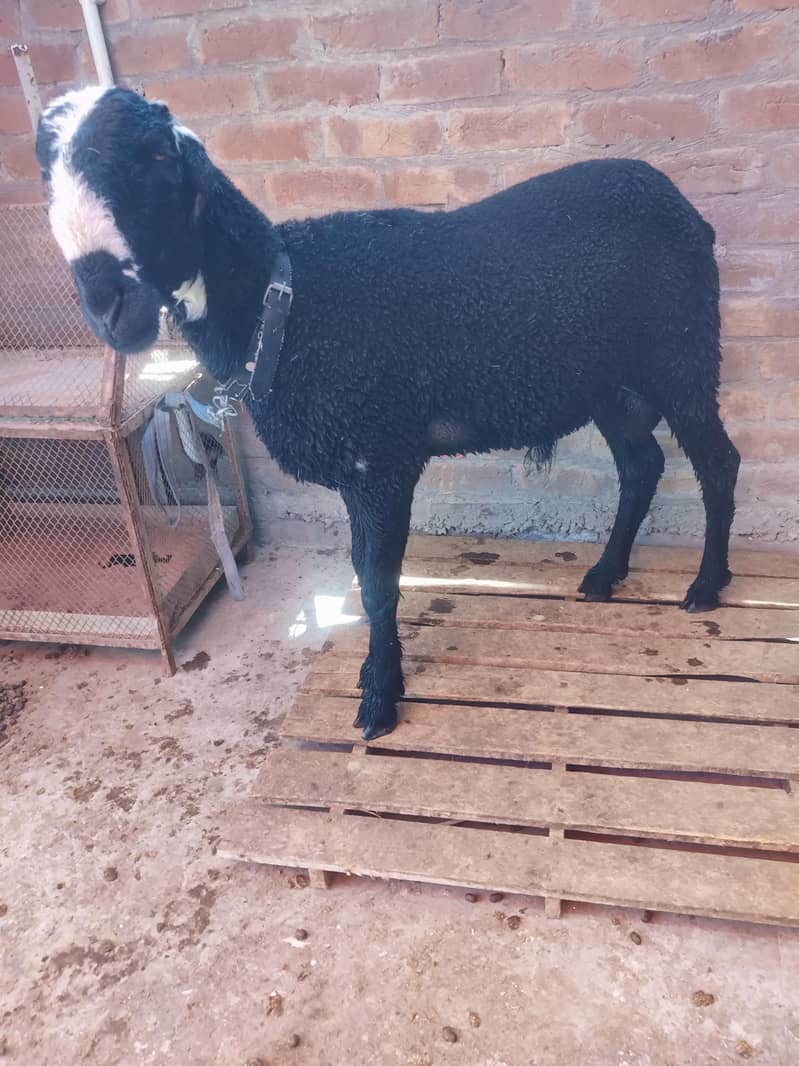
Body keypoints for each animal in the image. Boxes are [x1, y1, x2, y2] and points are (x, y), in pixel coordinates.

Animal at [36, 87, 740, 740]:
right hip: (611, 382)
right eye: (48, 172)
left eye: (157, 157)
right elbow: (365, 574)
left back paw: (706, 586)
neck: (283, 305)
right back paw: (606, 572)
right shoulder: (365, 463)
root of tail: (687, 210)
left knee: (717, 461)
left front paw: (379, 696)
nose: (111, 309)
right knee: (642, 465)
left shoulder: (378, 459)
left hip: (681, 348)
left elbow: (376, 581)